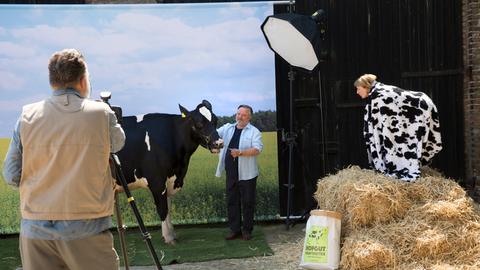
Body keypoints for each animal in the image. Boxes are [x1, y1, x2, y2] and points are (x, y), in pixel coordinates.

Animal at [116, 100, 223, 244]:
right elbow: (163, 209)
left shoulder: (169, 180)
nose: (219, 143)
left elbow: (169, 208)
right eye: (198, 123)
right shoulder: (157, 181)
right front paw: (168, 238)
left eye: (215, 120)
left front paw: (172, 233)